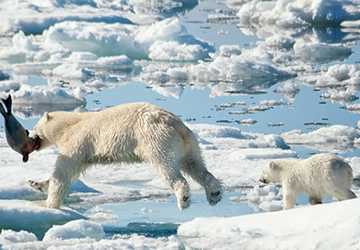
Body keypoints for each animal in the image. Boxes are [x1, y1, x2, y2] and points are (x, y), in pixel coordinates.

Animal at [28, 102, 222, 210]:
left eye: (35, 126)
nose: (29, 135)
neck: (70, 124)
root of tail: (176, 124)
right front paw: (36, 183)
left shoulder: (77, 142)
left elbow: (64, 171)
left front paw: (49, 204)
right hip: (189, 143)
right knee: (195, 165)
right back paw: (214, 193)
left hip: (156, 139)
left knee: (169, 169)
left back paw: (183, 199)